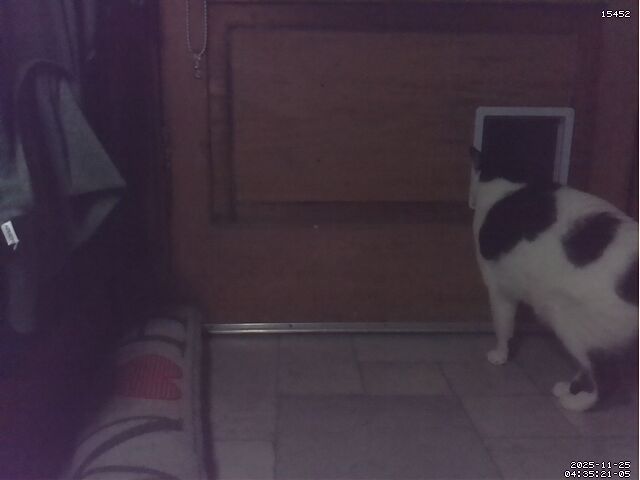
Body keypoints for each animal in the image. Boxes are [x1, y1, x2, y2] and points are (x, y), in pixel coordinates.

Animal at [469, 146, 638, 411]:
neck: (510, 180)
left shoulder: (499, 289)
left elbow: (502, 326)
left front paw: (500, 355)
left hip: (573, 323)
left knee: (608, 378)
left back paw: (575, 402)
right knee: (592, 367)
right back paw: (569, 387)